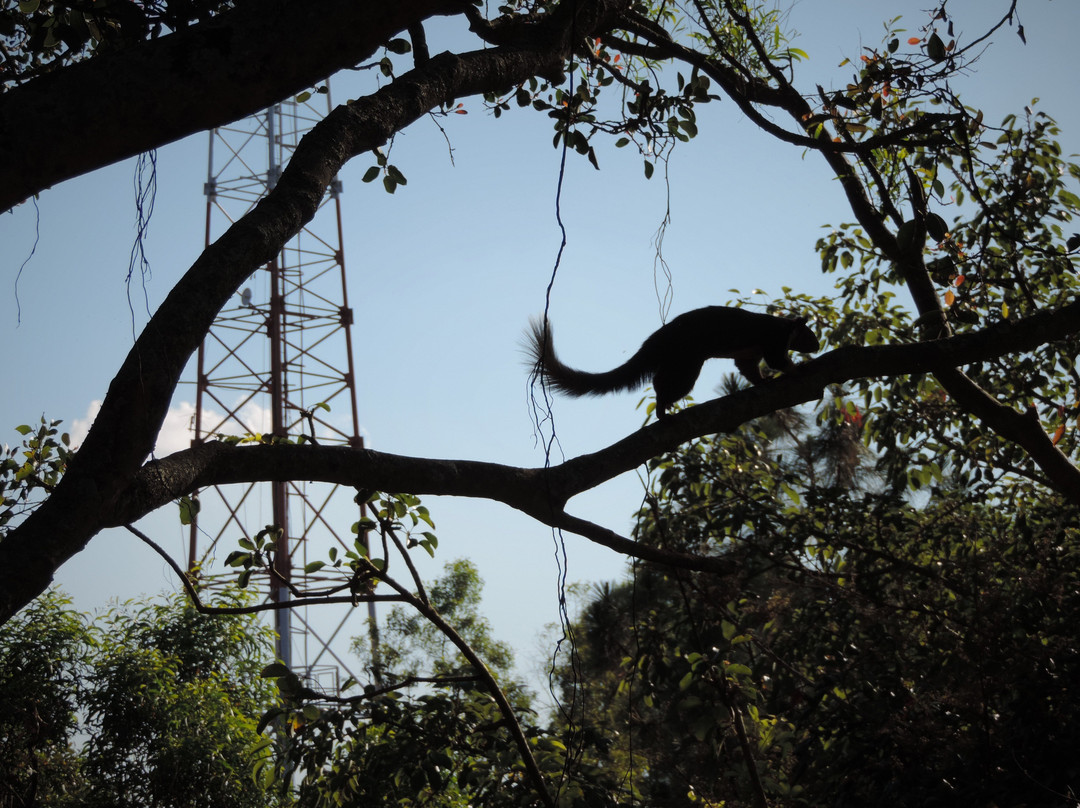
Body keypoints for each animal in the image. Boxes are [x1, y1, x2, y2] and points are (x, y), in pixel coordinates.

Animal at [524, 302, 816, 416]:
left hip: (678, 360)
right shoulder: (772, 340)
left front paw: (763, 380)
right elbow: (777, 361)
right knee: (666, 385)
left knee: (660, 380)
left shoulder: (750, 354)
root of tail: (659, 338)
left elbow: (749, 370)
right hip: (686, 362)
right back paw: (663, 409)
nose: (816, 345)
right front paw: (798, 369)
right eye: (811, 334)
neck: (784, 327)